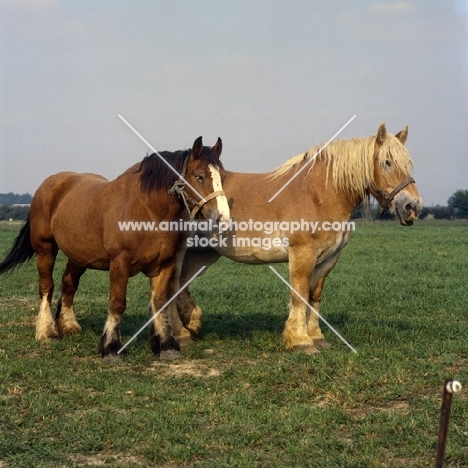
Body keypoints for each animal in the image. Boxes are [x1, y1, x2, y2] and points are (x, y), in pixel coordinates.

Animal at [0, 137, 230, 360]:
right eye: (199, 176)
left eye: (223, 177)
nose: (222, 219)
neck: (147, 210)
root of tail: (49, 184)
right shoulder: (120, 262)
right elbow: (117, 303)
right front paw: (111, 347)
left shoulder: (165, 264)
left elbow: (160, 302)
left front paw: (166, 345)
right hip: (45, 248)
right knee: (46, 286)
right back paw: (47, 331)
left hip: (78, 255)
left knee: (68, 284)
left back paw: (69, 326)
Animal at [169, 122, 424, 352]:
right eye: (387, 163)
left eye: (407, 163)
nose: (412, 207)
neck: (318, 194)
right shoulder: (303, 254)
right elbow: (300, 295)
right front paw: (301, 341)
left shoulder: (328, 259)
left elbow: (314, 296)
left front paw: (317, 337)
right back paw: (180, 334)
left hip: (202, 253)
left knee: (181, 283)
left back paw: (191, 325)